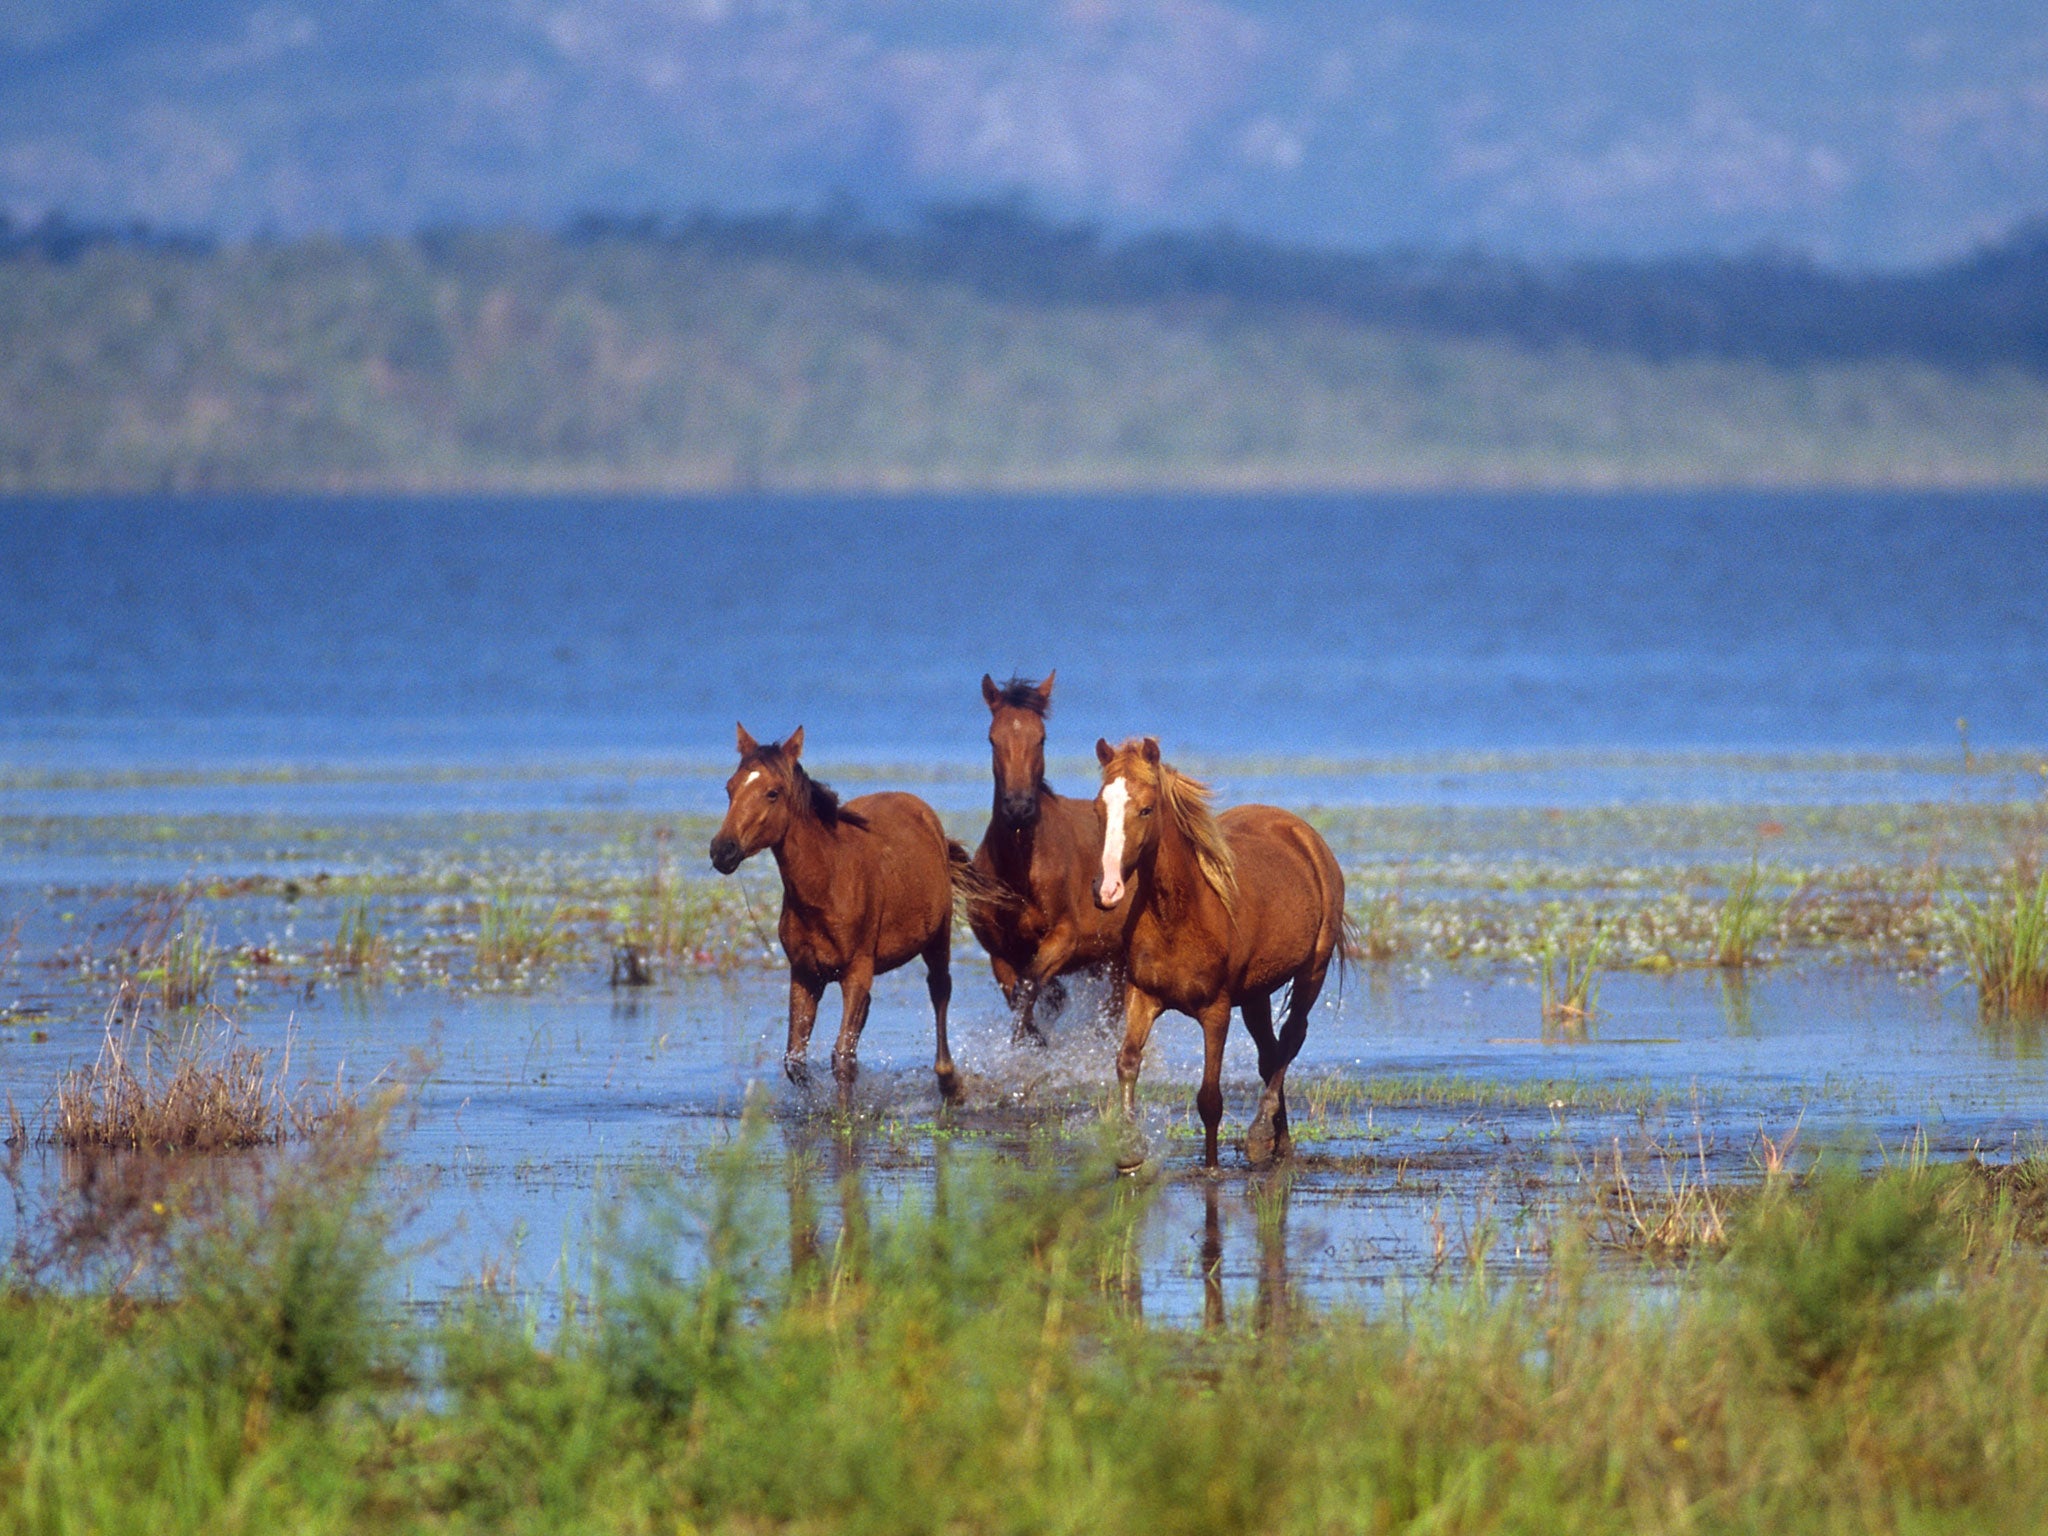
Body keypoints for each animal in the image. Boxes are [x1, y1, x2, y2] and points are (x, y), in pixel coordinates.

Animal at [708, 729, 970, 1097]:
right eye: (730, 788)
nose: (722, 850)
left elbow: (843, 1058)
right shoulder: (805, 973)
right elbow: (796, 1060)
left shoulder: (856, 971)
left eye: (773, 793)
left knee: (940, 990)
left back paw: (949, 1081)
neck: (829, 883)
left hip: (937, 937)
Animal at [962, 679, 1130, 1056]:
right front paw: (1032, 1039)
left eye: (1041, 738)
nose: (1018, 808)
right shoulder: (1000, 951)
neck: (1020, 871)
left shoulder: (1065, 936)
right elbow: (1023, 992)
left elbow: (1030, 985)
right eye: (992, 738)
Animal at [1089, 741, 1343, 1171]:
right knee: (1270, 1054)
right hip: (1257, 993)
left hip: (1313, 969)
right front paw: (1128, 1151)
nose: (1106, 890)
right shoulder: (1142, 995)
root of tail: (1304, 834)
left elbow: (1210, 1098)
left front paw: (1211, 1167)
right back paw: (1281, 1145)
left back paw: (1260, 1136)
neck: (1177, 914)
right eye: (1098, 809)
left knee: (1291, 1038)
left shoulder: (1216, 1011)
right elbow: (1127, 1062)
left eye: (1146, 809)